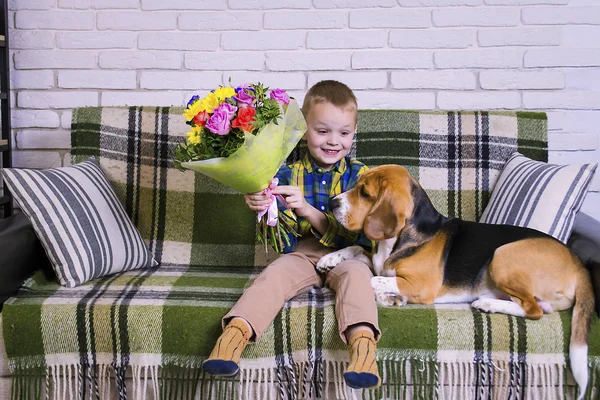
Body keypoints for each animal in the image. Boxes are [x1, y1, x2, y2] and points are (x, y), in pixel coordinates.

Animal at [318, 164, 596, 398]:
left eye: (364, 193)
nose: (331, 203)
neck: (399, 237)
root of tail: (578, 263)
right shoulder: (377, 260)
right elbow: (358, 250)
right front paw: (329, 258)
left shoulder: (420, 285)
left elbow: (376, 279)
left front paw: (388, 296)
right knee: (539, 307)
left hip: (502, 254)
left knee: (534, 310)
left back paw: (487, 304)